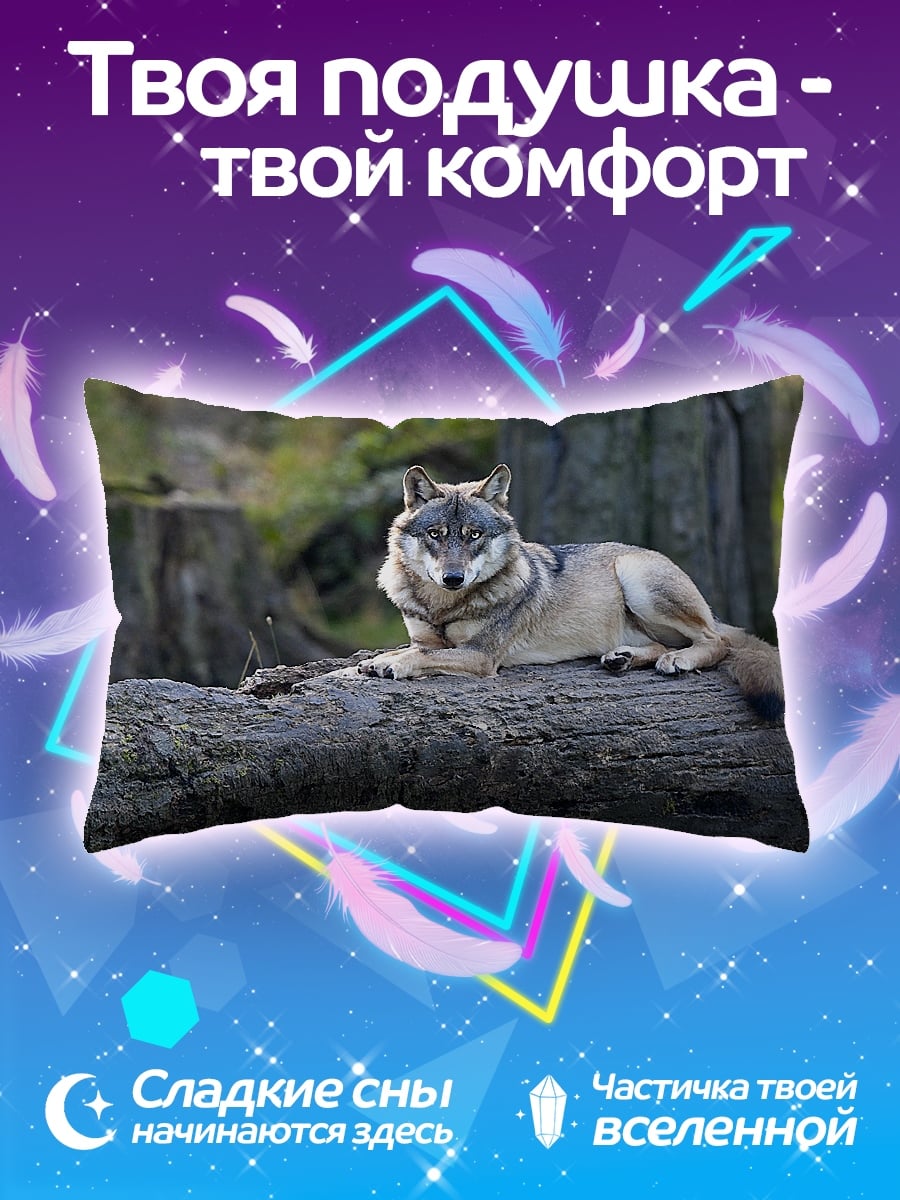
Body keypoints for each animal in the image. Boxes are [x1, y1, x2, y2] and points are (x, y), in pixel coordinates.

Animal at [358, 463, 784, 720]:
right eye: (436, 534)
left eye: (474, 535)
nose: (453, 578)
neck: (443, 605)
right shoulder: (426, 635)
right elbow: (417, 647)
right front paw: (376, 660)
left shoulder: (481, 656)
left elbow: (421, 656)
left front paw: (392, 664)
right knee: (664, 645)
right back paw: (622, 658)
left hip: (637, 579)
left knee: (717, 642)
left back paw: (678, 660)